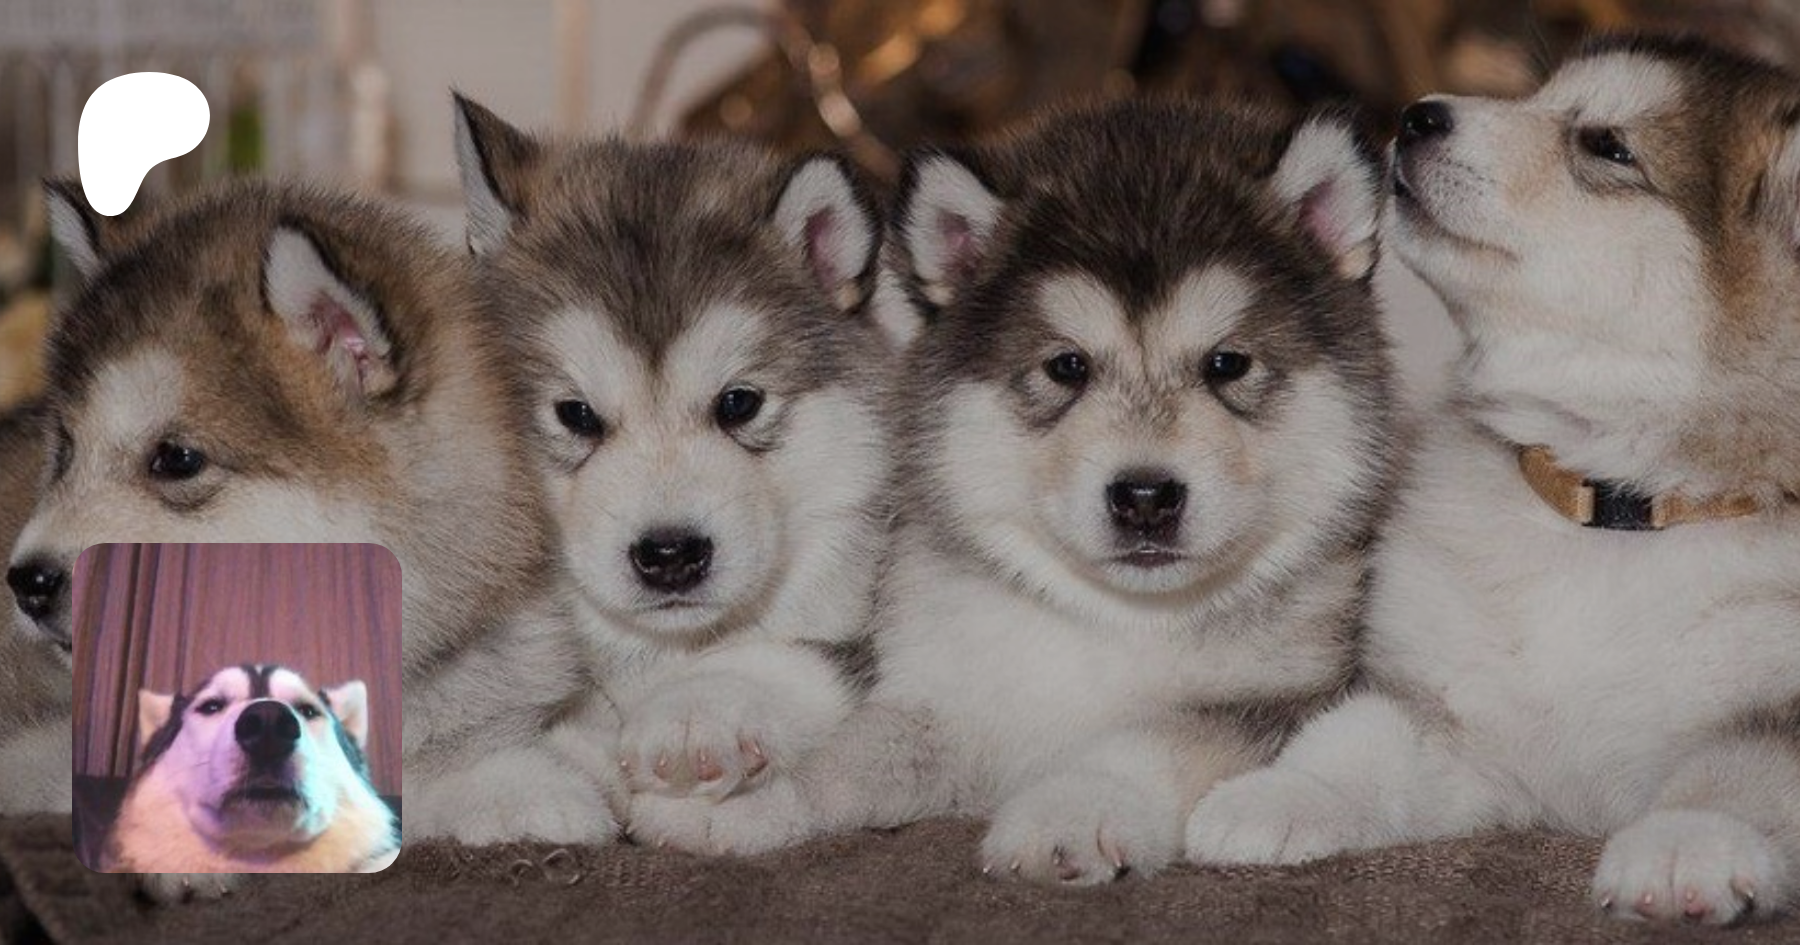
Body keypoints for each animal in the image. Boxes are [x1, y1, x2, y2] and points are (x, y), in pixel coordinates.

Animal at [651, 99, 1399, 878]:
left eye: (1228, 363)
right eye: (1066, 366)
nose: (1145, 497)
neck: (1116, 620)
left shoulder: (1292, 697)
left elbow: (1157, 740)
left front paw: (1075, 808)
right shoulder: (956, 703)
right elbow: (854, 751)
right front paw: (750, 797)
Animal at [1187, 36, 1800, 926]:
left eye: (1606, 145)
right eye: (1541, 97)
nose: (1418, 115)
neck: (1613, 506)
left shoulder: (1779, 716)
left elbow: (1739, 776)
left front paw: (1684, 842)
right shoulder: (1460, 720)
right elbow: (1356, 738)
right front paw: (1276, 794)